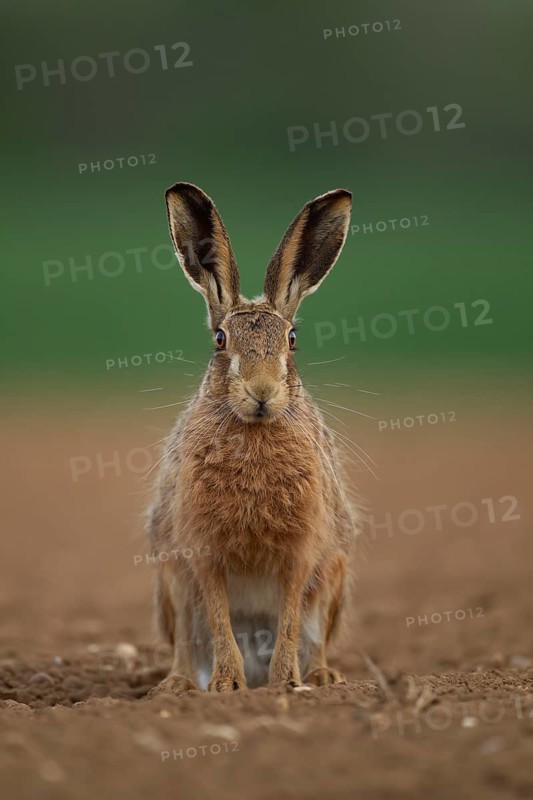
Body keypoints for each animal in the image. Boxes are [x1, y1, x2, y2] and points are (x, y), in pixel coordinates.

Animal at [145, 182, 359, 693]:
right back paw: (179, 685)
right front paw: (228, 685)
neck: (256, 430)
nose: (261, 392)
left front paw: (284, 683)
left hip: (335, 575)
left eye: (293, 340)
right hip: (170, 580)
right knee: (186, 643)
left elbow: (290, 617)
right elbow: (220, 616)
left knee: (314, 635)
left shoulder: (302, 553)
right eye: (220, 340)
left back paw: (322, 677)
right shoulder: (202, 553)